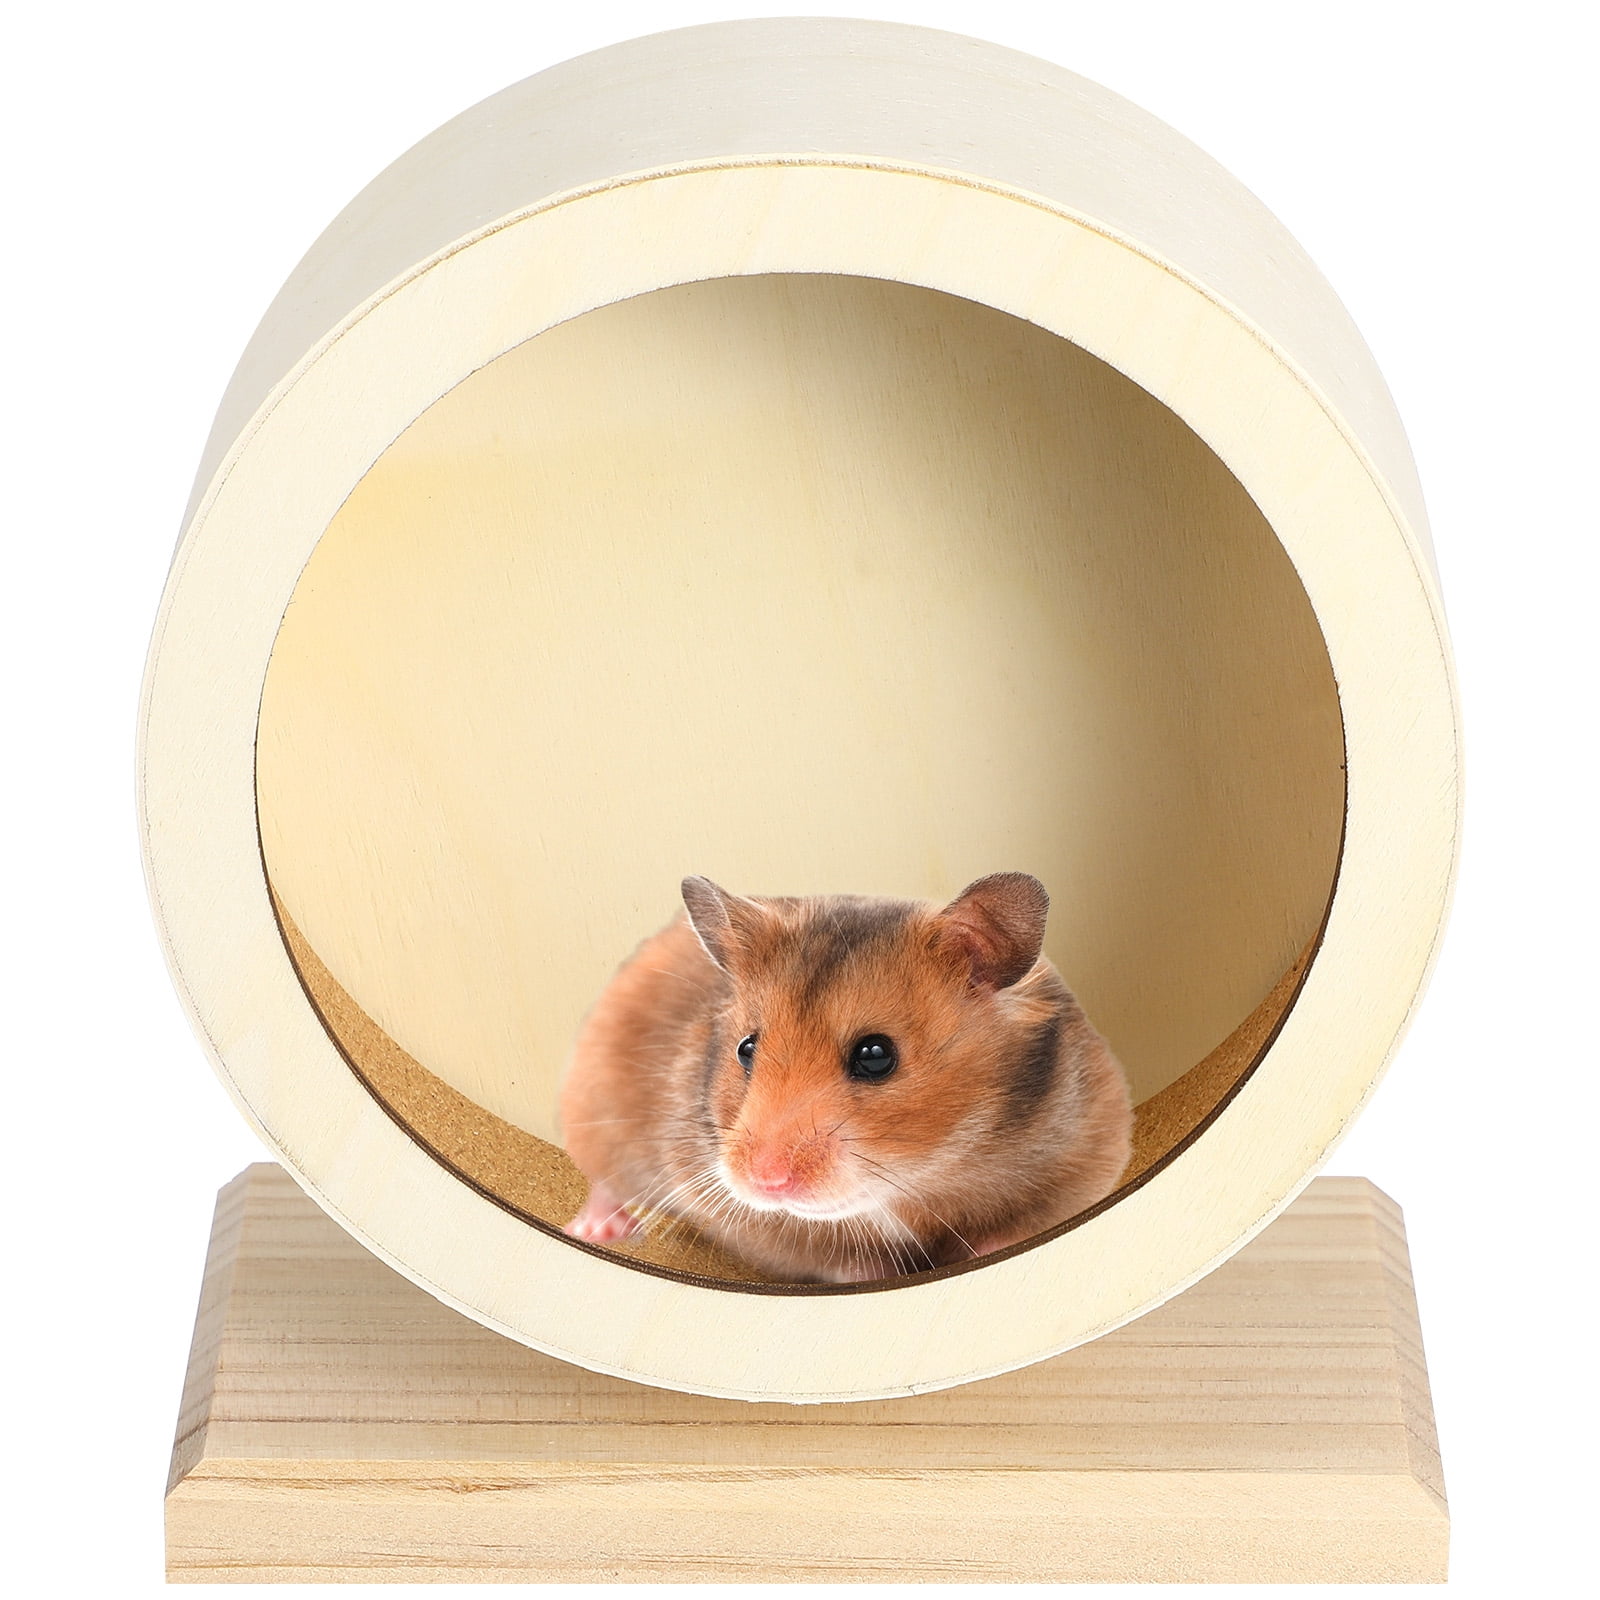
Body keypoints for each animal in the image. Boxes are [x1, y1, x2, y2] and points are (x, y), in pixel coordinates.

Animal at [559, 873, 1133, 1283]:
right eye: (747, 1048)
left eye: (876, 1056)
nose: (765, 1182)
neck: (917, 1181)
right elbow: (836, 1257)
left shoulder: (1088, 1154)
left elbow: (1024, 1228)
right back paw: (593, 1229)